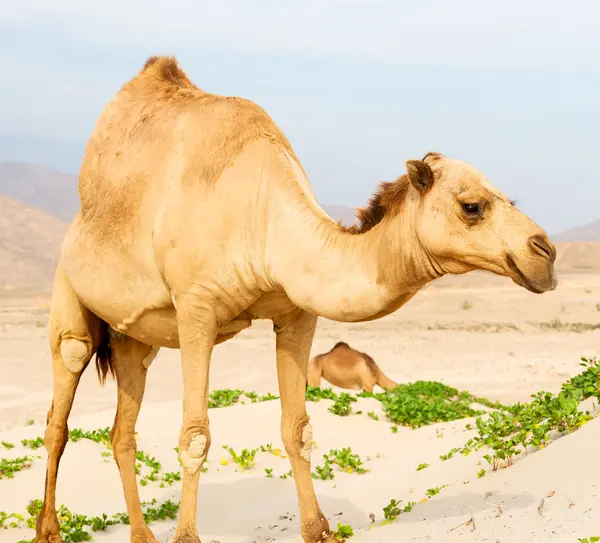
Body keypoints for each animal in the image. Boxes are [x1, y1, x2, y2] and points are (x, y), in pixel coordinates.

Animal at [34, 56, 556, 543]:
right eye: (472, 206)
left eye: (508, 197)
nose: (546, 254)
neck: (264, 221)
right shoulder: (196, 308)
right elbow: (195, 436)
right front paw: (186, 536)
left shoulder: (296, 312)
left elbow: (298, 428)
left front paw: (318, 528)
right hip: (70, 295)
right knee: (61, 406)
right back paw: (49, 529)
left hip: (132, 339)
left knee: (122, 431)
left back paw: (141, 534)